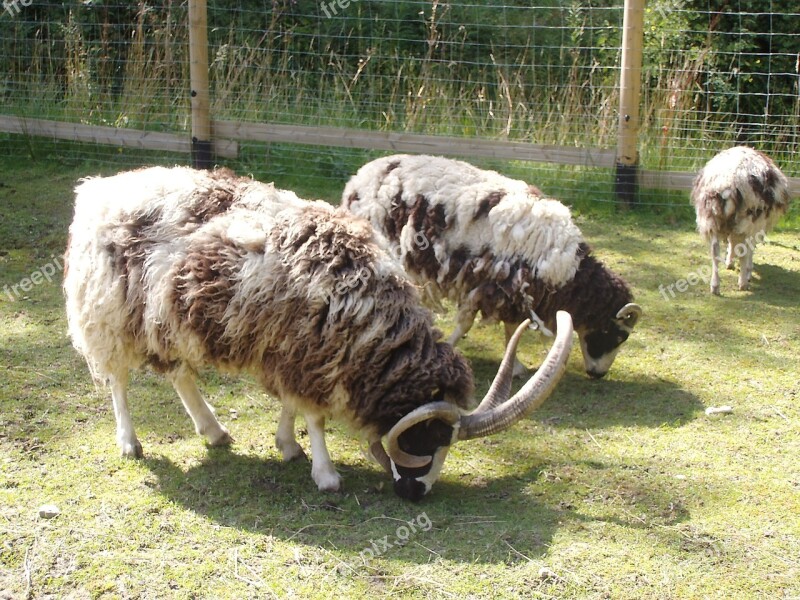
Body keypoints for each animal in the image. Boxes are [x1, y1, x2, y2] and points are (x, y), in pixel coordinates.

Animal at [64, 164, 576, 502]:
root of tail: (98, 189)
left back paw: (213, 431)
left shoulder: (296, 353)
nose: (414, 494)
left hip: (163, 318)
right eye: (425, 437)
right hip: (107, 313)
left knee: (178, 373)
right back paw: (130, 443)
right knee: (118, 380)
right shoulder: (308, 351)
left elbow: (293, 405)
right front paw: (325, 473)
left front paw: (288, 445)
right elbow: (315, 416)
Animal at [340, 155, 640, 380]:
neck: (566, 272)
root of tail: (360, 176)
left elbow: (512, 328)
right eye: (618, 335)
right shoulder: (488, 284)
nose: (598, 374)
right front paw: (451, 346)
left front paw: (514, 365)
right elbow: (467, 323)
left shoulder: (512, 293)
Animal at [692, 146, 792, 296]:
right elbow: (749, 248)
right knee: (743, 251)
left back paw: (715, 286)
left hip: (711, 219)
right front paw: (748, 270)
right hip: (749, 218)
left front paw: (729, 262)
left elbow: (732, 244)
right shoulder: (756, 227)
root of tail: (728, 184)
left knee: (715, 251)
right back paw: (743, 282)